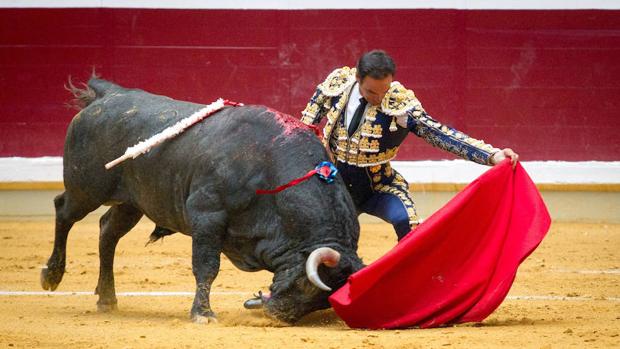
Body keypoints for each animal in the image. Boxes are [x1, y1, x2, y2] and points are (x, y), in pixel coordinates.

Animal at [40, 77, 364, 322]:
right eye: (308, 286)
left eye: (323, 301)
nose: (278, 316)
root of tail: (106, 95)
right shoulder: (207, 216)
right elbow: (207, 266)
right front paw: (202, 313)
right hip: (87, 189)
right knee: (63, 211)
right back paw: (52, 275)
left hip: (133, 202)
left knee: (107, 232)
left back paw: (107, 299)